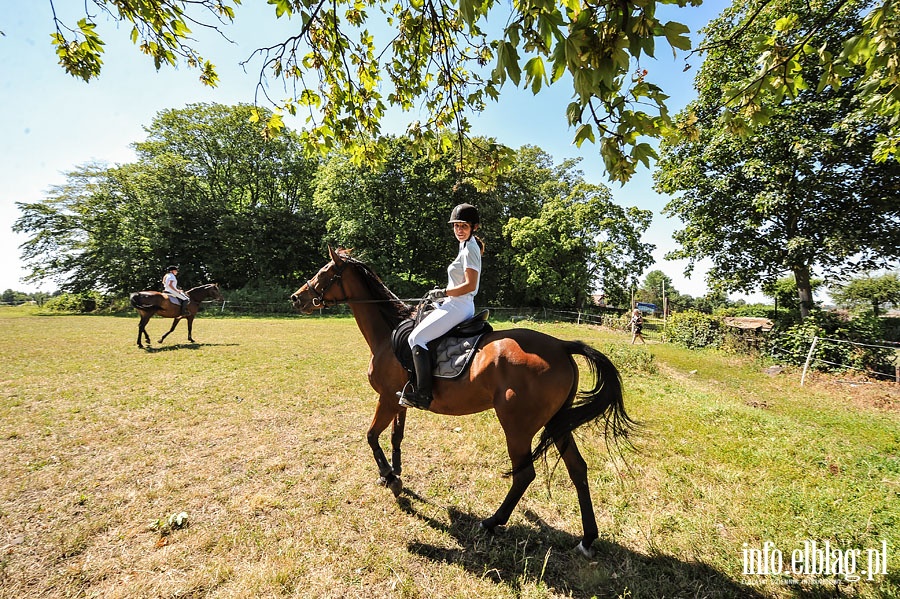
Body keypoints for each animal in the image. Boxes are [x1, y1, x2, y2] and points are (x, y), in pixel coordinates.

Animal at [292, 248, 628, 556]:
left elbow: (371, 435)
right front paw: (395, 473)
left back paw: (491, 522)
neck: (388, 335)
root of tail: (561, 345)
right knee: (577, 469)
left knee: (524, 474)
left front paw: (390, 477)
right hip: (557, 422)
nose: (296, 298)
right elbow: (396, 436)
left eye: (325, 273)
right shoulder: (399, 400)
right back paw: (587, 539)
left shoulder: (386, 398)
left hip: (518, 426)